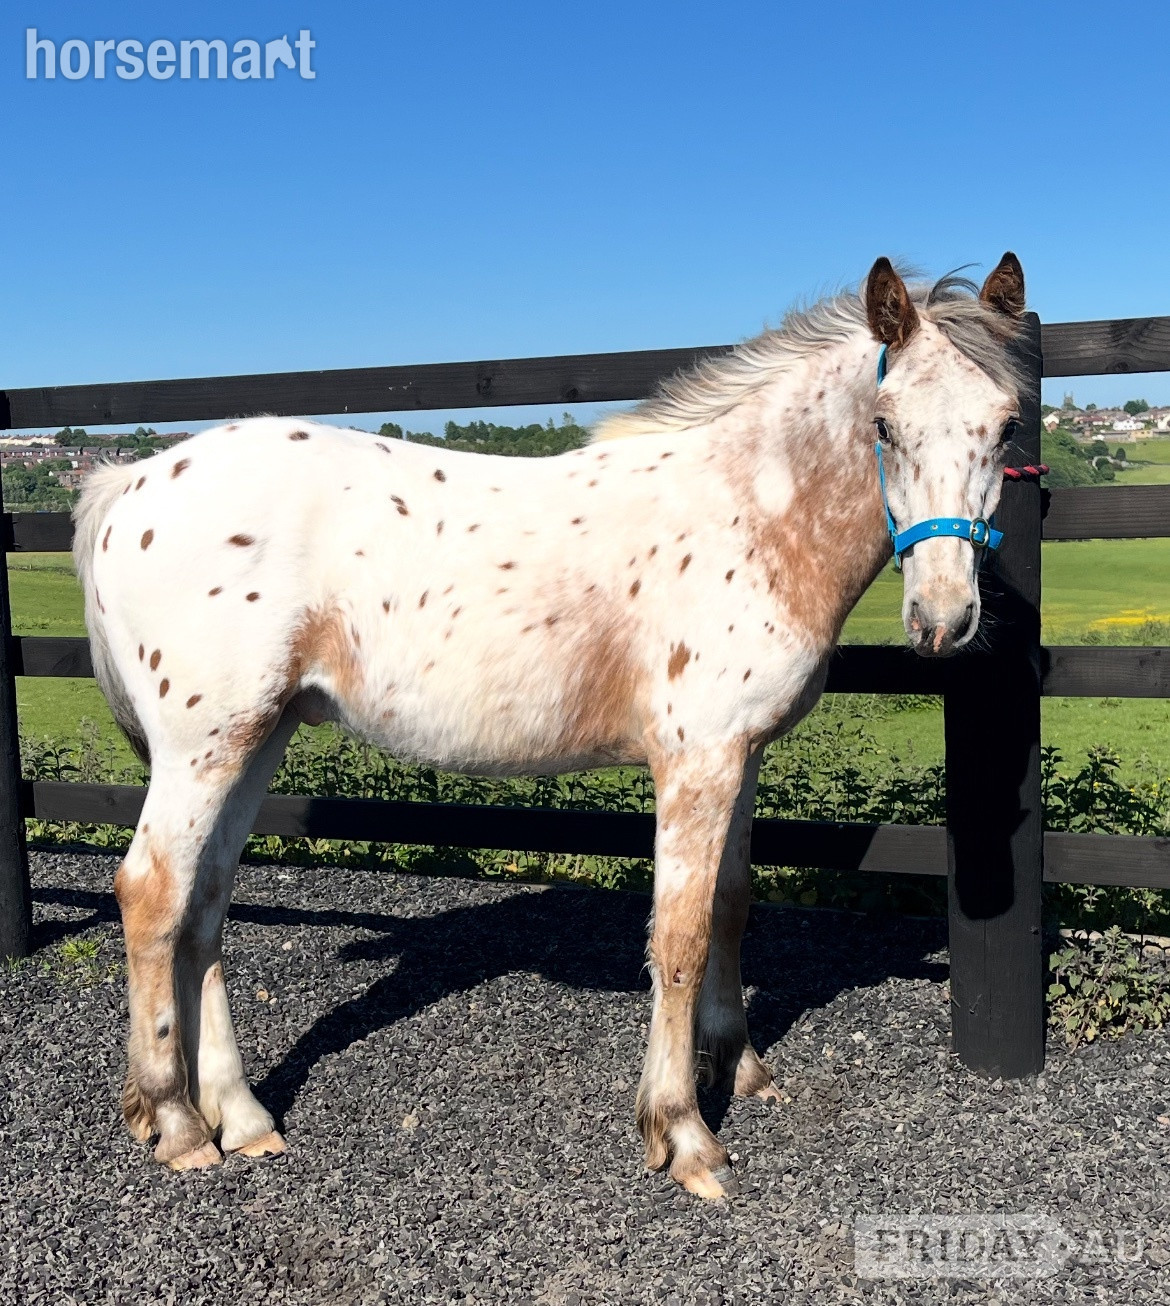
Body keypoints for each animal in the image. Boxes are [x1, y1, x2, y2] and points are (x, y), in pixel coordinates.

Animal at [73, 253, 1028, 1198]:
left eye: (1008, 426)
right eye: (885, 424)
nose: (944, 619)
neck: (750, 516)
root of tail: (131, 484)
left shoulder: (742, 759)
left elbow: (730, 907)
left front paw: (740, 1066)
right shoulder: (696, 763)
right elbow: (677, 936)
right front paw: (683, 1133)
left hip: (256, 740)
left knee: (203, 906)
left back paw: (242, 1119)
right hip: (202, 749)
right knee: (152, 893)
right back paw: (174, 1122)